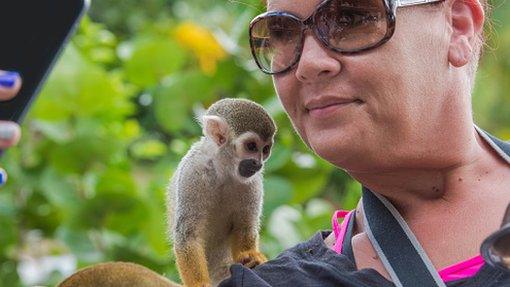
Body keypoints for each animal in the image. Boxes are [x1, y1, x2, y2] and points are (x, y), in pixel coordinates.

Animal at [167, 98, 276, 286]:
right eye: (251, 146)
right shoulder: (192, 172)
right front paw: (199, 283)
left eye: (265, 149)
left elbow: (244, 226)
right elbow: (188, 234)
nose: (258, 163)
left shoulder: (253, 182)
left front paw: (250, 257)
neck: (224, 171)